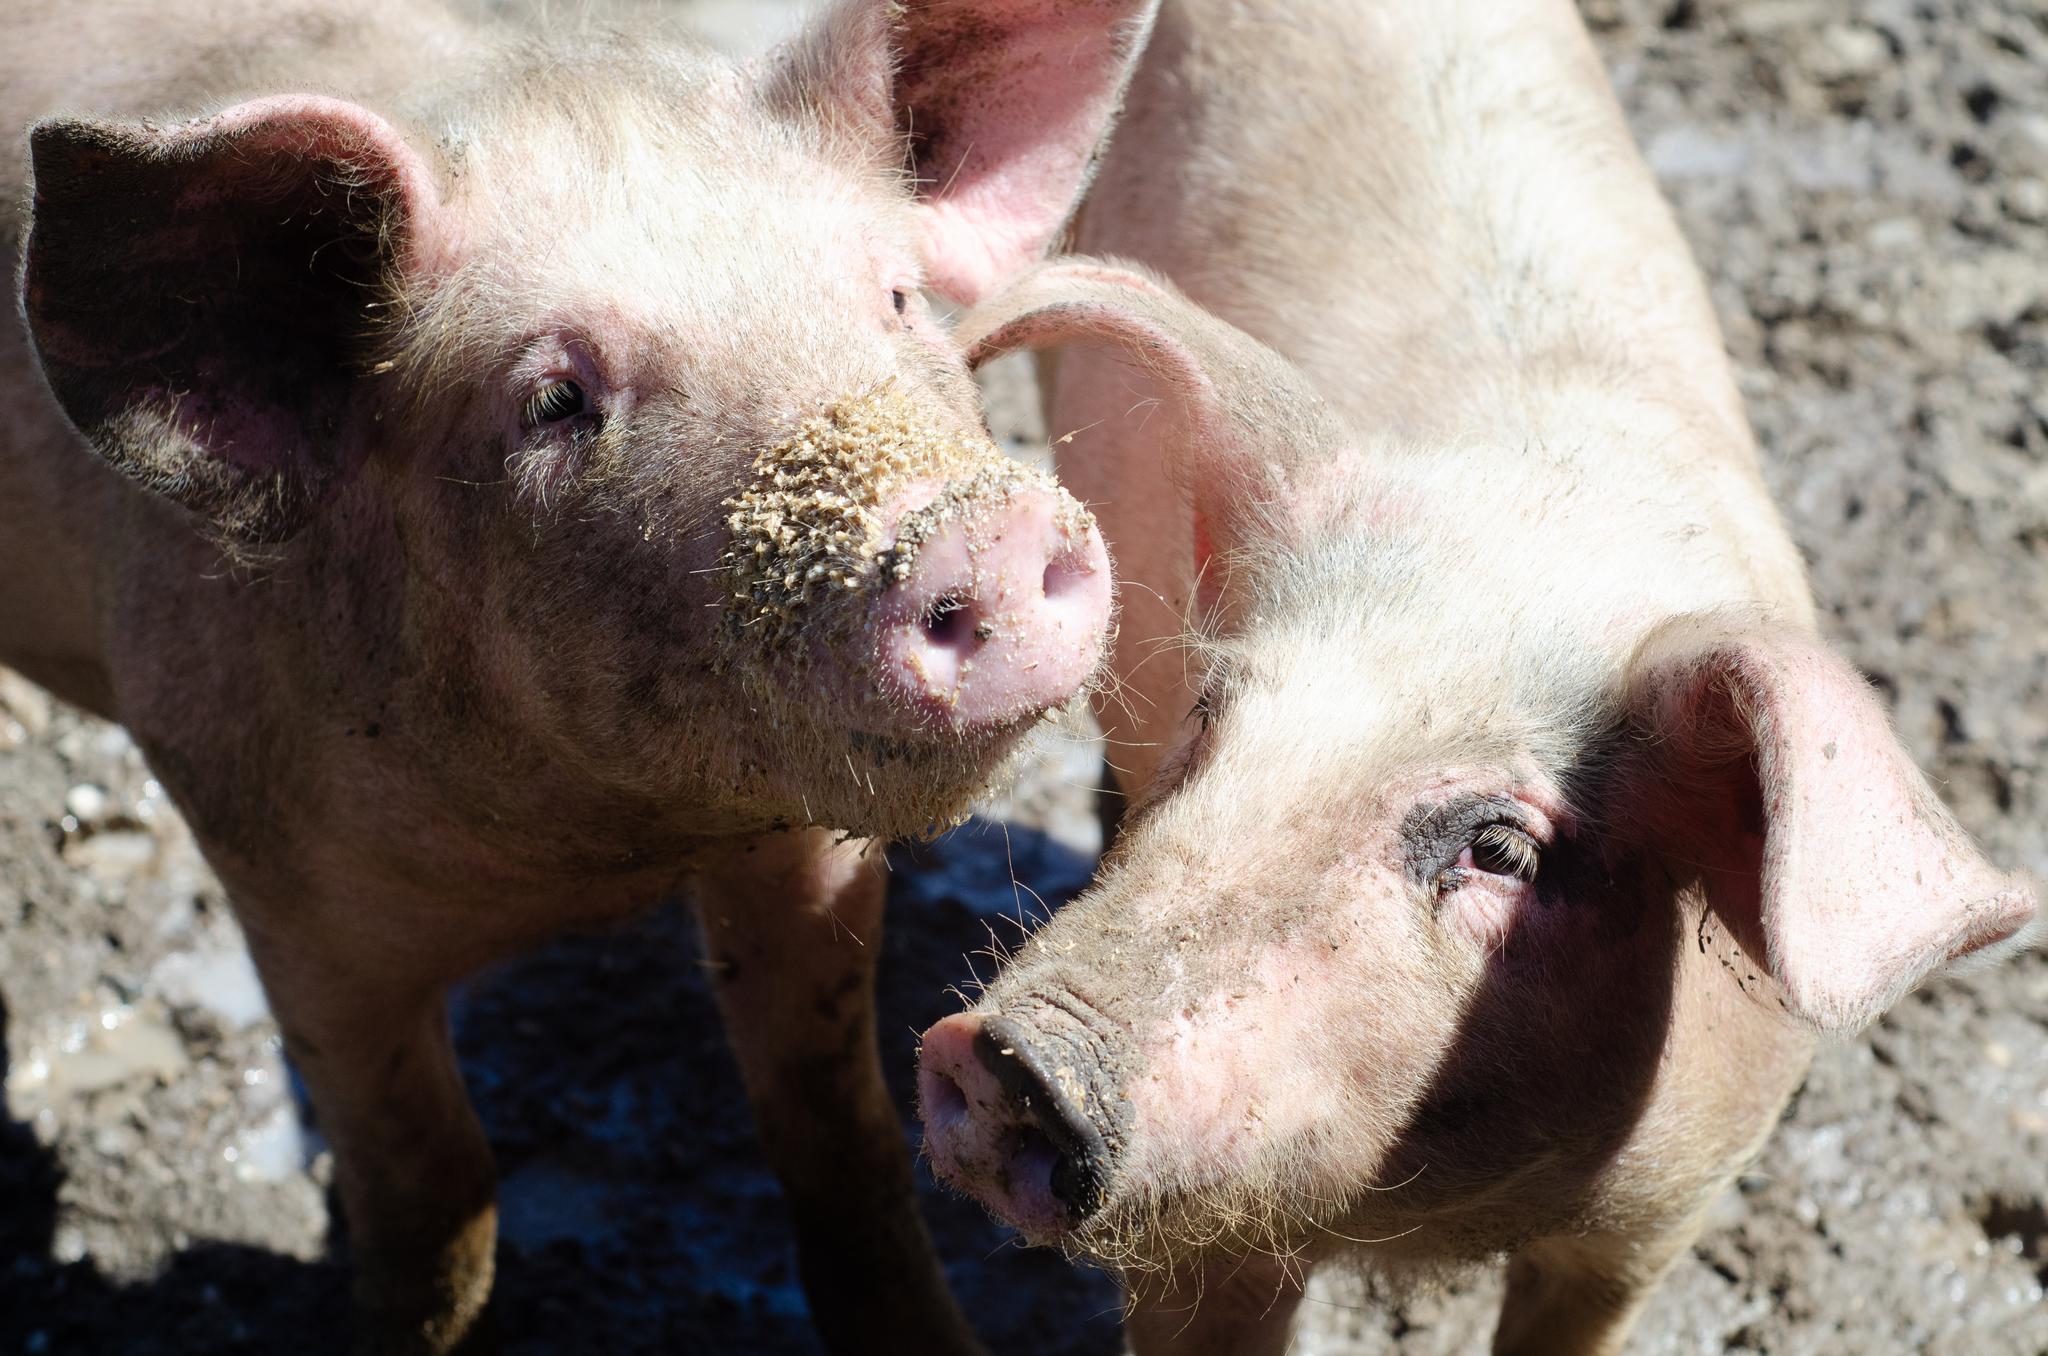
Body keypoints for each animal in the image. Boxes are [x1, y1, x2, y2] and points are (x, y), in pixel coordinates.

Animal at [0, 0, 1155, 1351]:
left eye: (897, 296)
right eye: (553, 400)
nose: (974, 526)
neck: (600, 850)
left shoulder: (807, 848)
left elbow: (836, 1126)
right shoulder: (267, 874)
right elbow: (433, 1205)